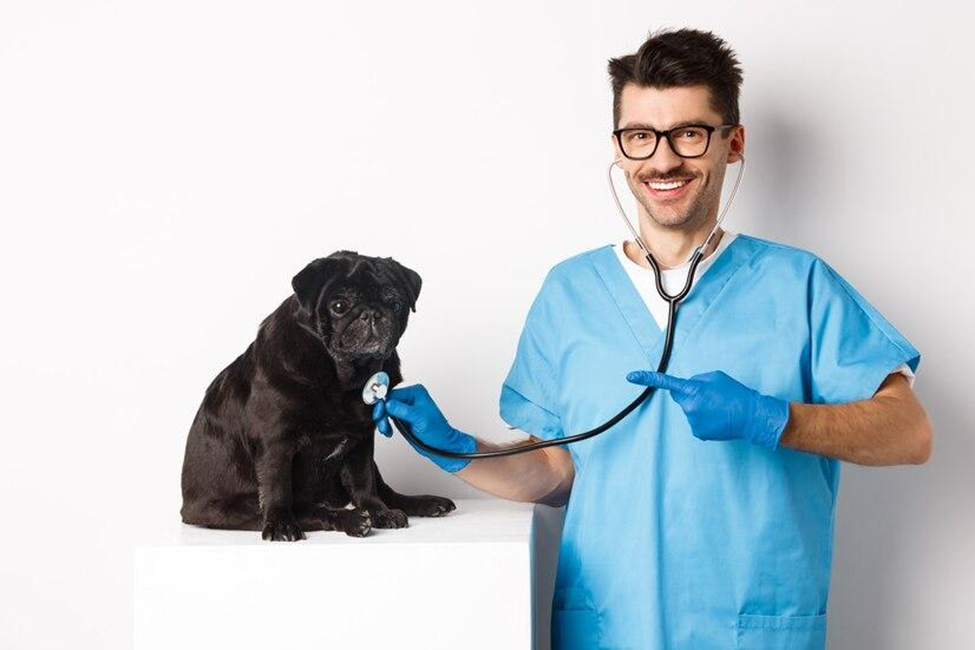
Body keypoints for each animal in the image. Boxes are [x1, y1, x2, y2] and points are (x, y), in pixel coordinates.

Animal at [180, 251, 458, 540]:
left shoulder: (361, 440)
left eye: (395, 304)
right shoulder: (276, 442)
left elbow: (364, 482)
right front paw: (280, 524)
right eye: (339, 306)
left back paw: (420, 504)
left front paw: (378, 512)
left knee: (382, 490)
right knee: (305, 510)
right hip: (234, 507)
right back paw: (349, 519)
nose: (371, 313)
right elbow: (278, 489)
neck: (342, 378)